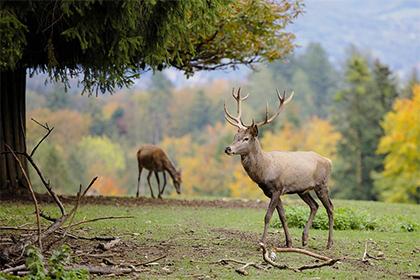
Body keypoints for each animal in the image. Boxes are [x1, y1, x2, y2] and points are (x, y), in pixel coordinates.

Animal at [223, 88, 334, 248]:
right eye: (234, 137)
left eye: (246, 138)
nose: (228, 149)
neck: (265, 170)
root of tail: (329, 161)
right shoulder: (271, 192)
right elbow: (282, 216)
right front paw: (288, 242)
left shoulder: (277, 188)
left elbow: (268, 216)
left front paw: (262, 242)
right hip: (303, 190)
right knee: (315, 206)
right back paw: (304, 239)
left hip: (322, 184)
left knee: (330, 208)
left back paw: (329, 243)